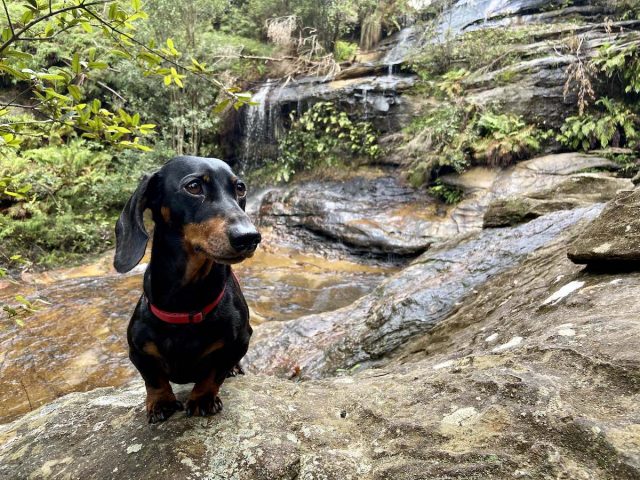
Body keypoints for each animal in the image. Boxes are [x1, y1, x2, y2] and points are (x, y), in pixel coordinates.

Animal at [113, 157, 260, 424]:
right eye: (193, 186)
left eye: (240, 188)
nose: (250, 237)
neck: (186, 301)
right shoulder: (137, 350)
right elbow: (153, 379)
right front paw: (161, 402)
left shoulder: (239, 342)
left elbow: (214, 373)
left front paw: (202, 398)